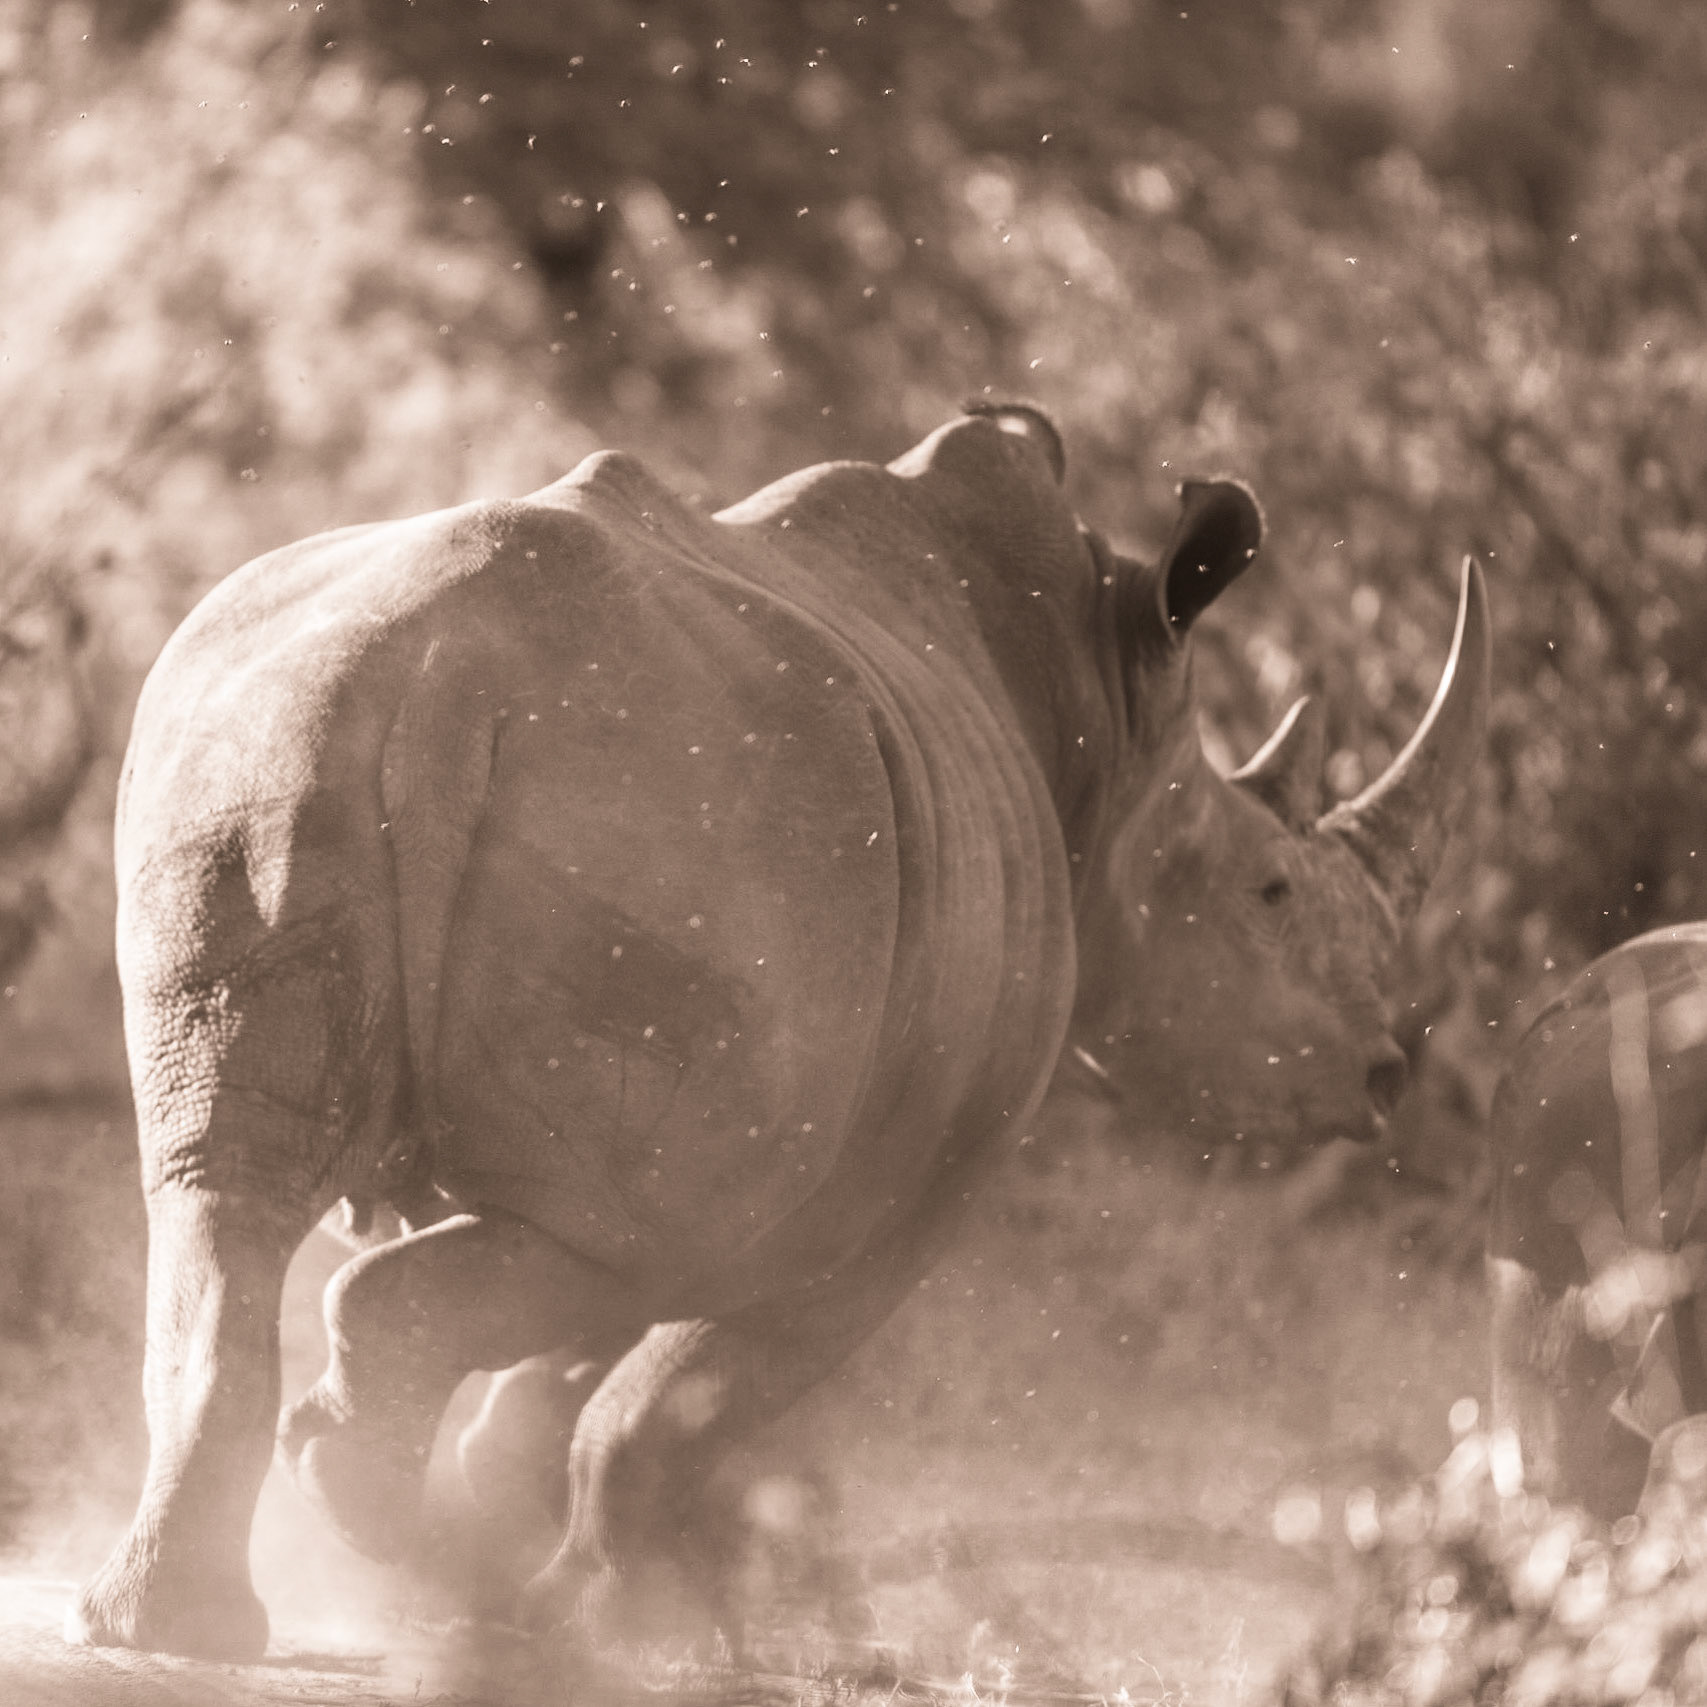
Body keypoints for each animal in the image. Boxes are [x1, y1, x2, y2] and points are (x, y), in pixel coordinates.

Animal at [69, 406, 1489, 1661]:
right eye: (1272, 891)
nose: (1382, 1073)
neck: (1112, 717)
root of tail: (443, 676)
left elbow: (556, 1354)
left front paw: (516, 1575)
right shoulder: (914, 1173)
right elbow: (690, 1379)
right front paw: (621, 1621)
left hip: (271, 746)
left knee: (225, 1194)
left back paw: (196, 1616)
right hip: (699, 819)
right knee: (620, 1259)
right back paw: (363, 1551)